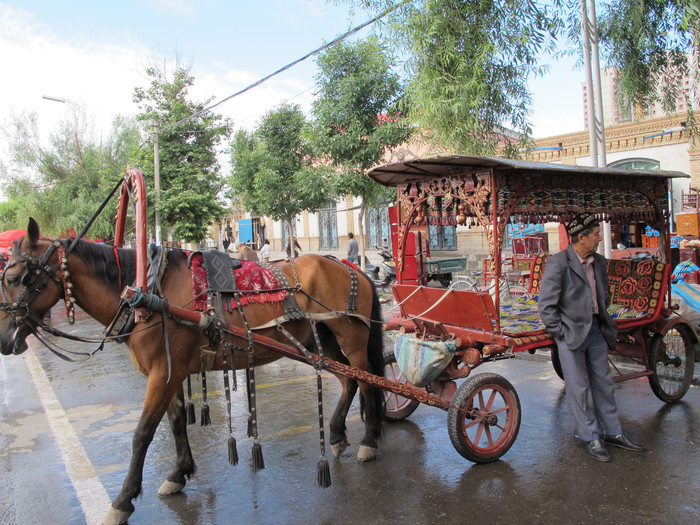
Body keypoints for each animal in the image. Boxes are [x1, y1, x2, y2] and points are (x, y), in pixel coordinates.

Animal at [0, 218, 382, 524]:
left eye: (16, 278)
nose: (5, 339)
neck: (148, 296)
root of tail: (350, 266)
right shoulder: (168, 373)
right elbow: (175, 422)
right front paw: (178, 473)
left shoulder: (161, 376)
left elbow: (142, 433)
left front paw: (123, 500)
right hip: (321, 343)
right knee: (349, 382)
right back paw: (337, 435)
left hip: (351, 339)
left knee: (367, 384)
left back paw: (368, 441)